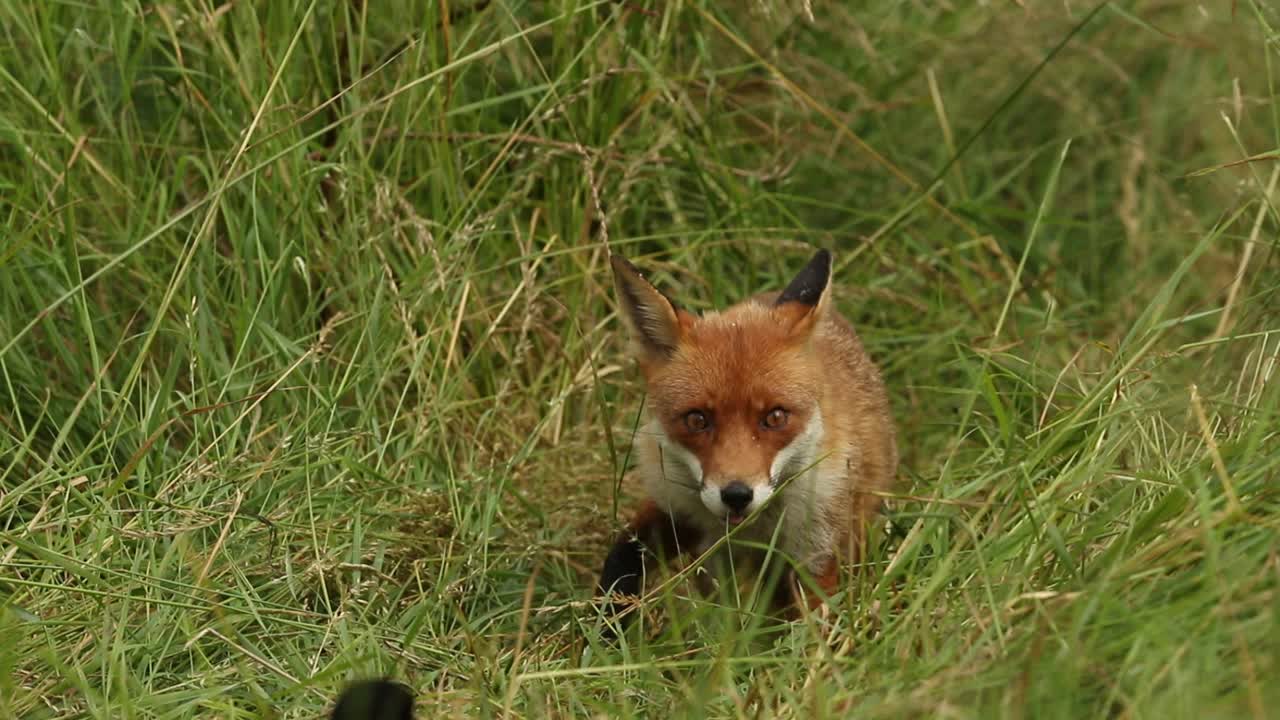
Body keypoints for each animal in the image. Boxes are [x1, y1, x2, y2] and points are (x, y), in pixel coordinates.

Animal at [593, 249, 896, 630]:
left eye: (775, 417)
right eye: (697, 419)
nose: (736, 495)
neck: (753, 530)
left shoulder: (817, 553)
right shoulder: (672, 503)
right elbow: (623, 556)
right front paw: (605, 627)